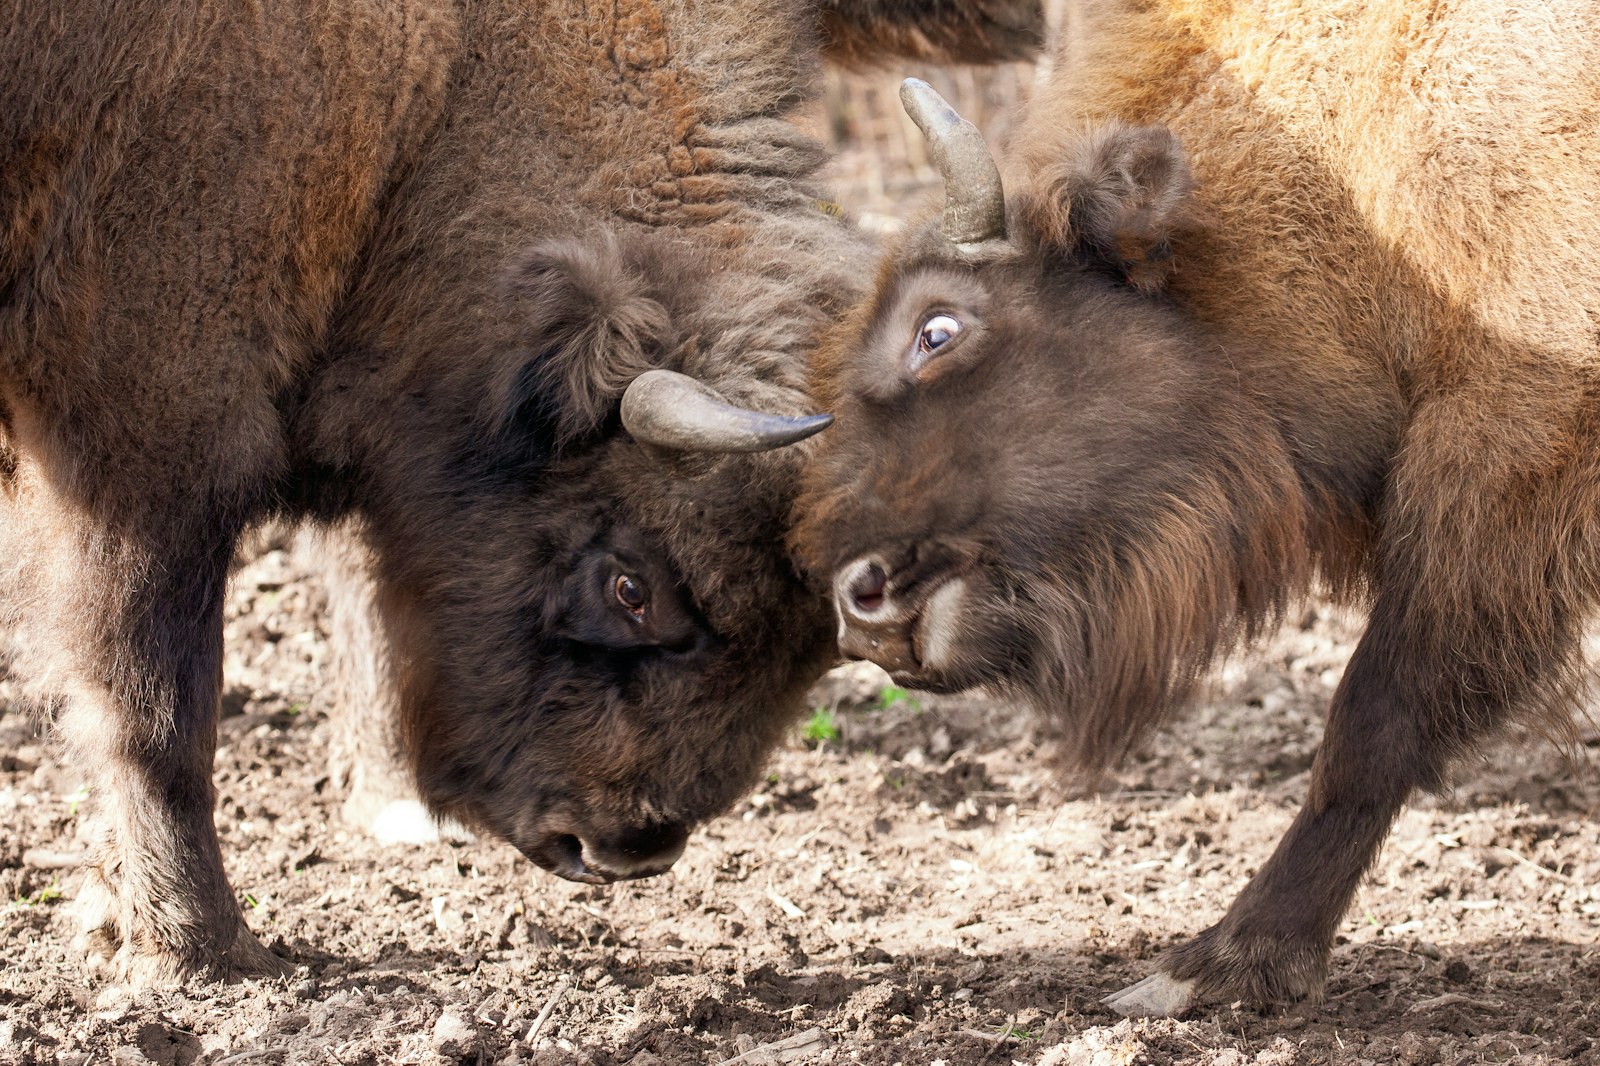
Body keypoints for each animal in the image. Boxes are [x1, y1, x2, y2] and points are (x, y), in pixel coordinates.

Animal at [0, 0, 1036, 979]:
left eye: (817, 649)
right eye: (631, 587)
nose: (623, 849)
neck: (435, 110)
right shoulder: (147, 440)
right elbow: (158, 707)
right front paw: (198, 951)